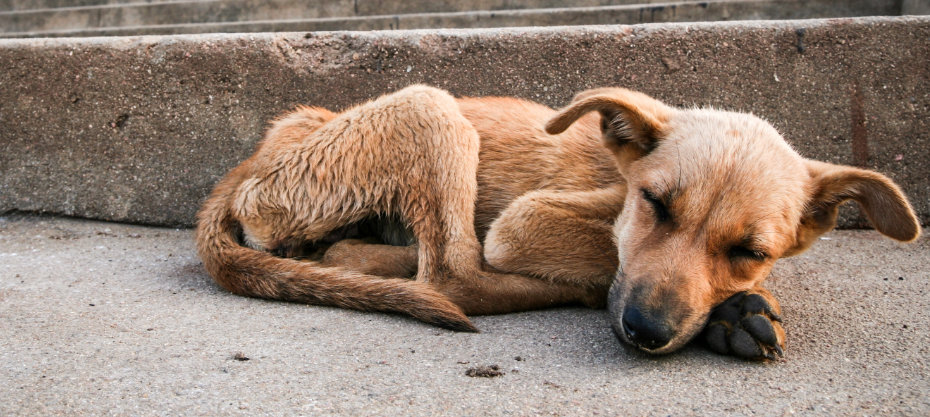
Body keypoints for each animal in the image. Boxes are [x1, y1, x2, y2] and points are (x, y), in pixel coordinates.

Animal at [192, 83, 916, 358]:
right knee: (454, 273)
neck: (617, 176)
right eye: (655, 204)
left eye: (750, 249)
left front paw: (738, 305)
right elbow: (601, 255)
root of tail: (254, 160)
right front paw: (731, 311)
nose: (647, 331)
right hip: (429, 106)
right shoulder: (523, 221)